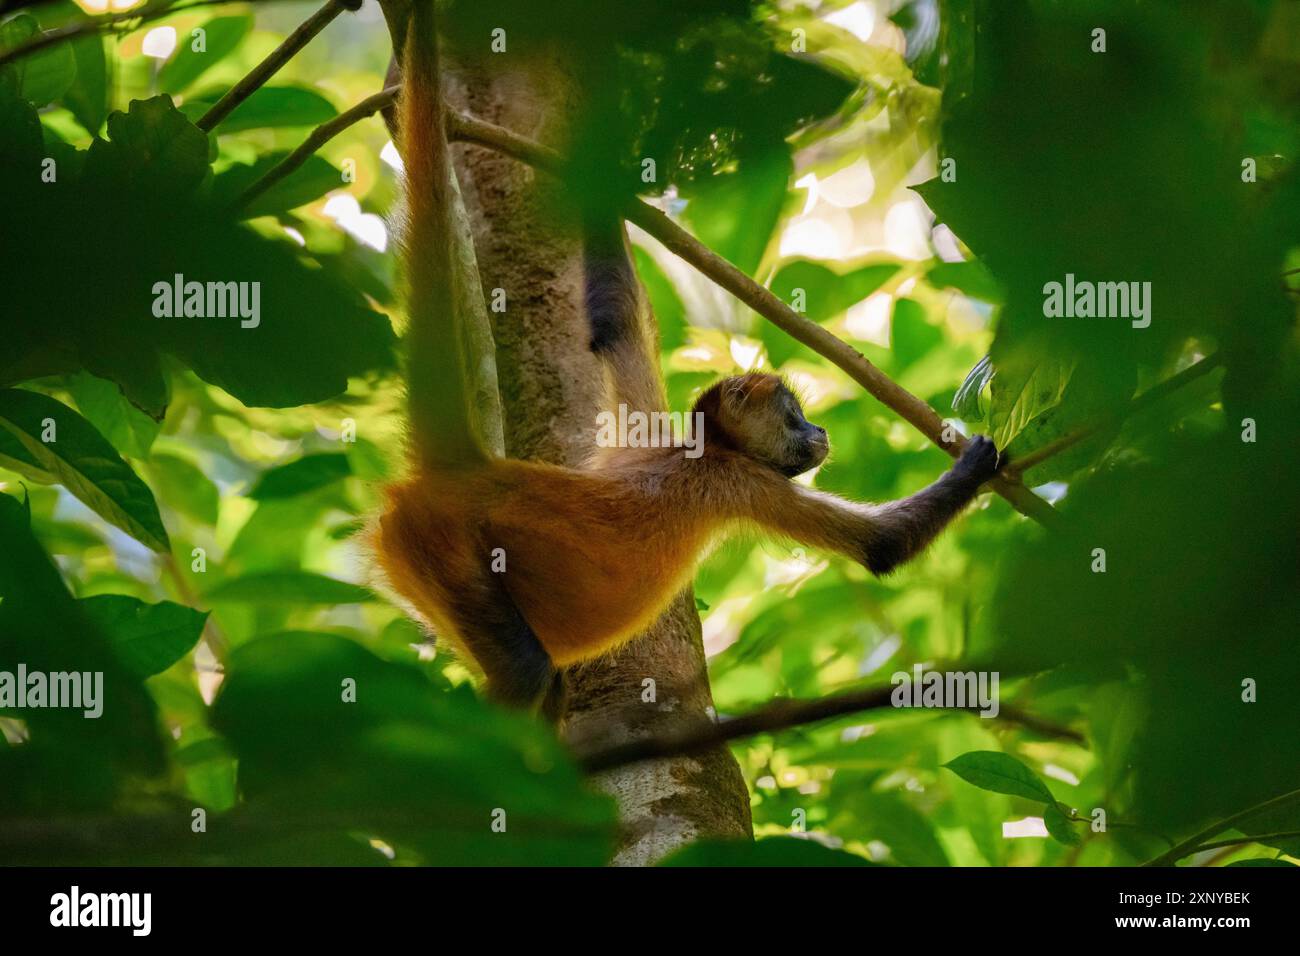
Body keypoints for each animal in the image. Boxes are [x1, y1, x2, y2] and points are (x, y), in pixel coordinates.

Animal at [377, 0, 1003, 717]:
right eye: (794, 416)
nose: (819, 432)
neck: (696, 448)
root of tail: (467, 472)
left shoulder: (643, 430)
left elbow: (615, 318)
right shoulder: (740, 481)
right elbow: (880, 544)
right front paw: (983, 458)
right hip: (446, 554)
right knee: (528, 675)